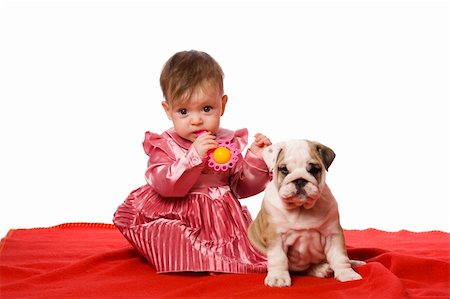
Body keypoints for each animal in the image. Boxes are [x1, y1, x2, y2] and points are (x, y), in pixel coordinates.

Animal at [248, 141, 364, 288]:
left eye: (313, 169)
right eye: (284, 169)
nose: (299, 180)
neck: (301, 208)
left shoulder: (333, 234)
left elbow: (340, 257)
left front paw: (347, 274)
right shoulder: (276, 237)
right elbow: (278, 258)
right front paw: (278, 278)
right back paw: (322, 269)